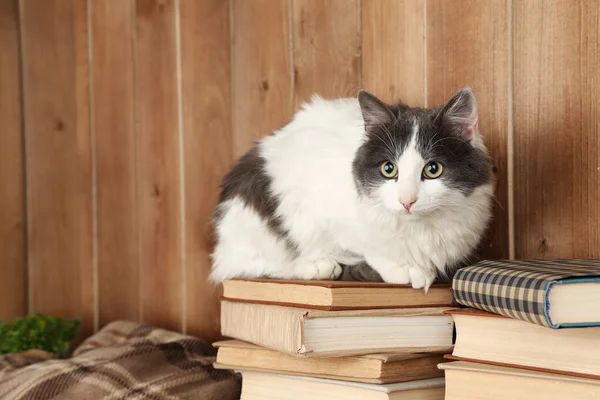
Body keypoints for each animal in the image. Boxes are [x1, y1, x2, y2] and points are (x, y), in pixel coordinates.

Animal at [209, 87, 494, 292]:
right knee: (254, 265)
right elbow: (368, 244)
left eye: (433, 169)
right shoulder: (317, 205)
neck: (420, 229)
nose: (407, 201)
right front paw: (405, 269)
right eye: (388, 169)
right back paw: (318, 266)